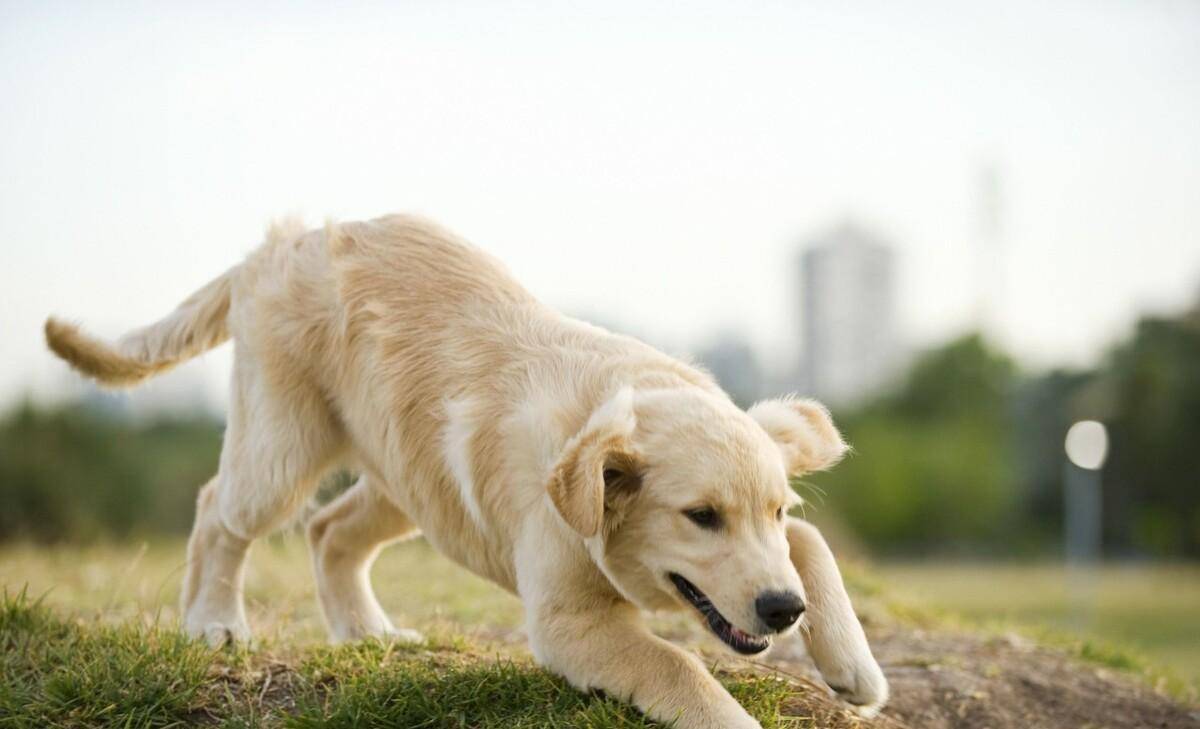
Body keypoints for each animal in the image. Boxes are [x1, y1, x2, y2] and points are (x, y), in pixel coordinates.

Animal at [46, 213, 888, 724]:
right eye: (700, 516)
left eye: (774, 509)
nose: (783, 610)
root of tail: (283, 240)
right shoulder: (568, 622)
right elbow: (680, 667)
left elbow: (812, 545)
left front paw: (854, 665)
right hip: (282, 448)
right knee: (218, 509)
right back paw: (214, 621)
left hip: (407, 479)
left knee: (329, 530)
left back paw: (369, 632)